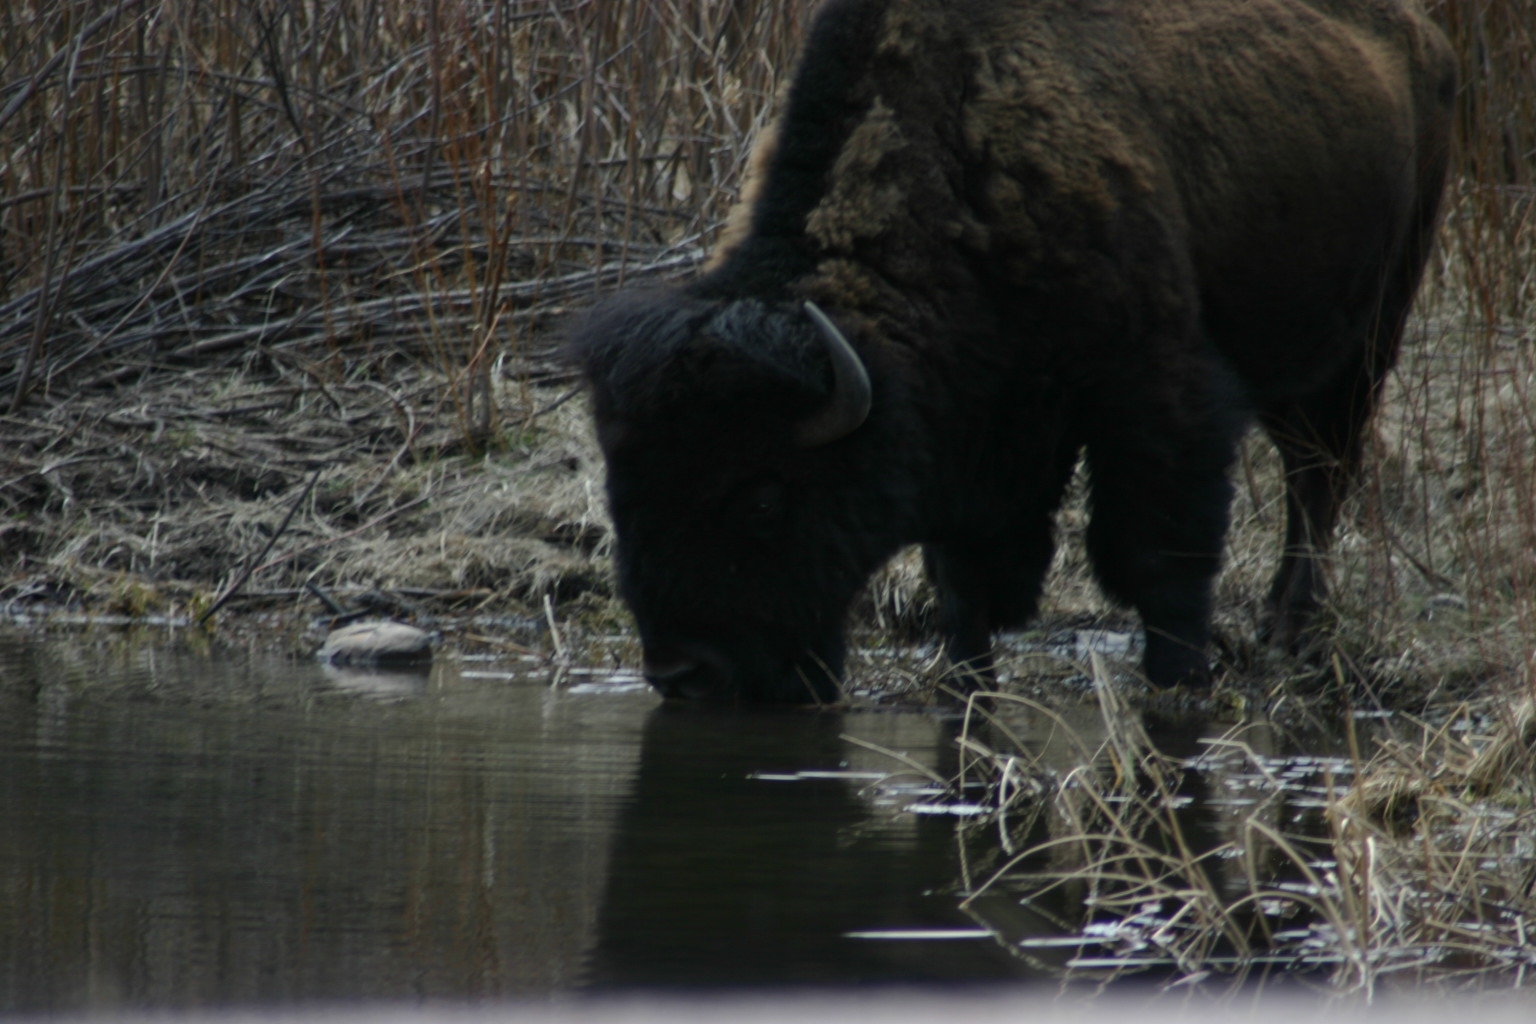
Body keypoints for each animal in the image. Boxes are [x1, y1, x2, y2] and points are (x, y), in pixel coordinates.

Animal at [570, 0, 1456, 703]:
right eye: (620, 488)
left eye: (762, 497)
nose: (685, 674)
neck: (959, 166)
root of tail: (1423, 36)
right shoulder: (970, 433)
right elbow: (963, 579)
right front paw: (966, 681)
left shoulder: (1158, 397)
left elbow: (1156, 553)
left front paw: (1178, 681)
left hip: (1370, 333)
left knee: (1321, 475)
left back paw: (1294, 628)